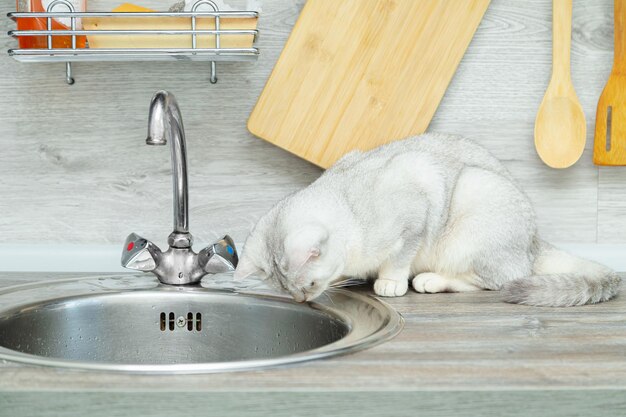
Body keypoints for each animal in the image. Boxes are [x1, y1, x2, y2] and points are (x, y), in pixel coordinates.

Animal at [234, 133, 620, 306]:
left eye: (309, 285)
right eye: (285, 290)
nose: (302, 300)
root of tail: (534, 241)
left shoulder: (414, 214)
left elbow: (398, 257)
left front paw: (389, 282)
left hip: (475, 202)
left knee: (497, 281)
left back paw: (430, 280)